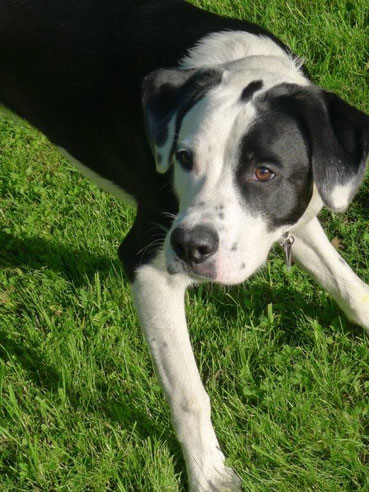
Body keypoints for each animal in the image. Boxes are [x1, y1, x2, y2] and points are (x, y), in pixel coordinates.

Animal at [0, 0, 368, 490]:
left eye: (265, 172)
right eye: (184, 158)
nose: (190, 247)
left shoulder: (293, 216)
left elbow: (351, 288)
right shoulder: (148, 264)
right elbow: (190, 394)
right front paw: (208, 473)